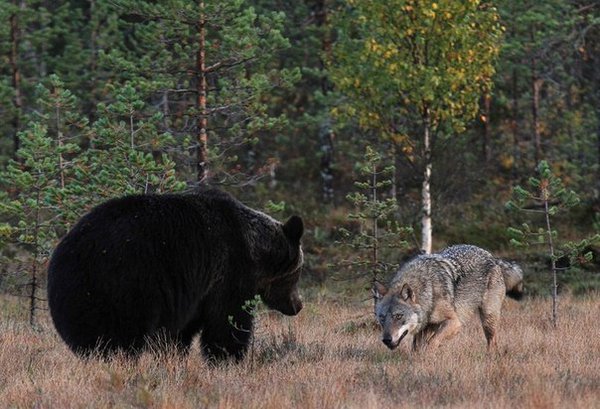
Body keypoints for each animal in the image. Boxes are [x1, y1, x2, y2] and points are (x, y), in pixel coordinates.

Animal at [47, 188, 304, 360]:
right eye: (297, 273)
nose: (298, 305)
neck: (256, 250)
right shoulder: (229, 271)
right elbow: (227, 321)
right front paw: (228, 357)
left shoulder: (191, 293)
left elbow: (179, 332)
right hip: (125, 284)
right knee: (123, 333)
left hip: (83, 291)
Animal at [372, 244, 524, 350]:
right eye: (382, 318)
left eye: (398, 316)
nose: (386, 340)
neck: (429, 290)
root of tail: (492, 258)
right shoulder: (425, 328)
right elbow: (416, 348)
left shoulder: (454, 322)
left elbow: (432, 343)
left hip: (488, 318)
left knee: (492, 342)